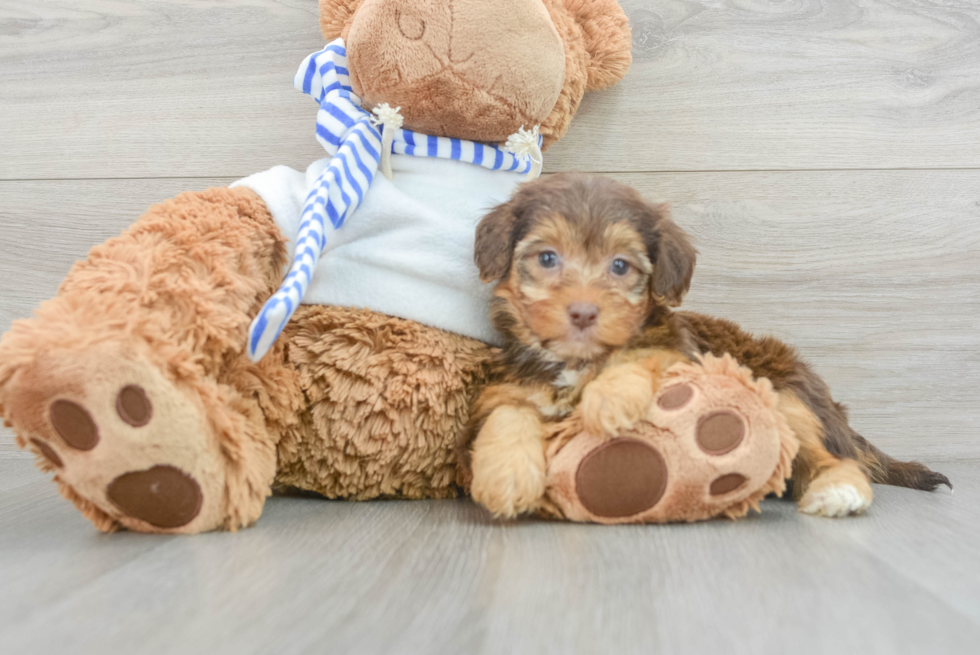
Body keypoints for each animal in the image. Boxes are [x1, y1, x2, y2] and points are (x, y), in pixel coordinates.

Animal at [460, 172, 948, 520]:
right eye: (547, 258)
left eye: (620, 266)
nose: (582, 312)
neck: (577, 361)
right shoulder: (512, 383)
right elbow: (507, 411)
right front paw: (505, 477)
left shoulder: (683, 354)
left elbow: (644, 352)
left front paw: (609, 397)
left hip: (787, 393)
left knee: (824, 454)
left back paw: (838, 490)